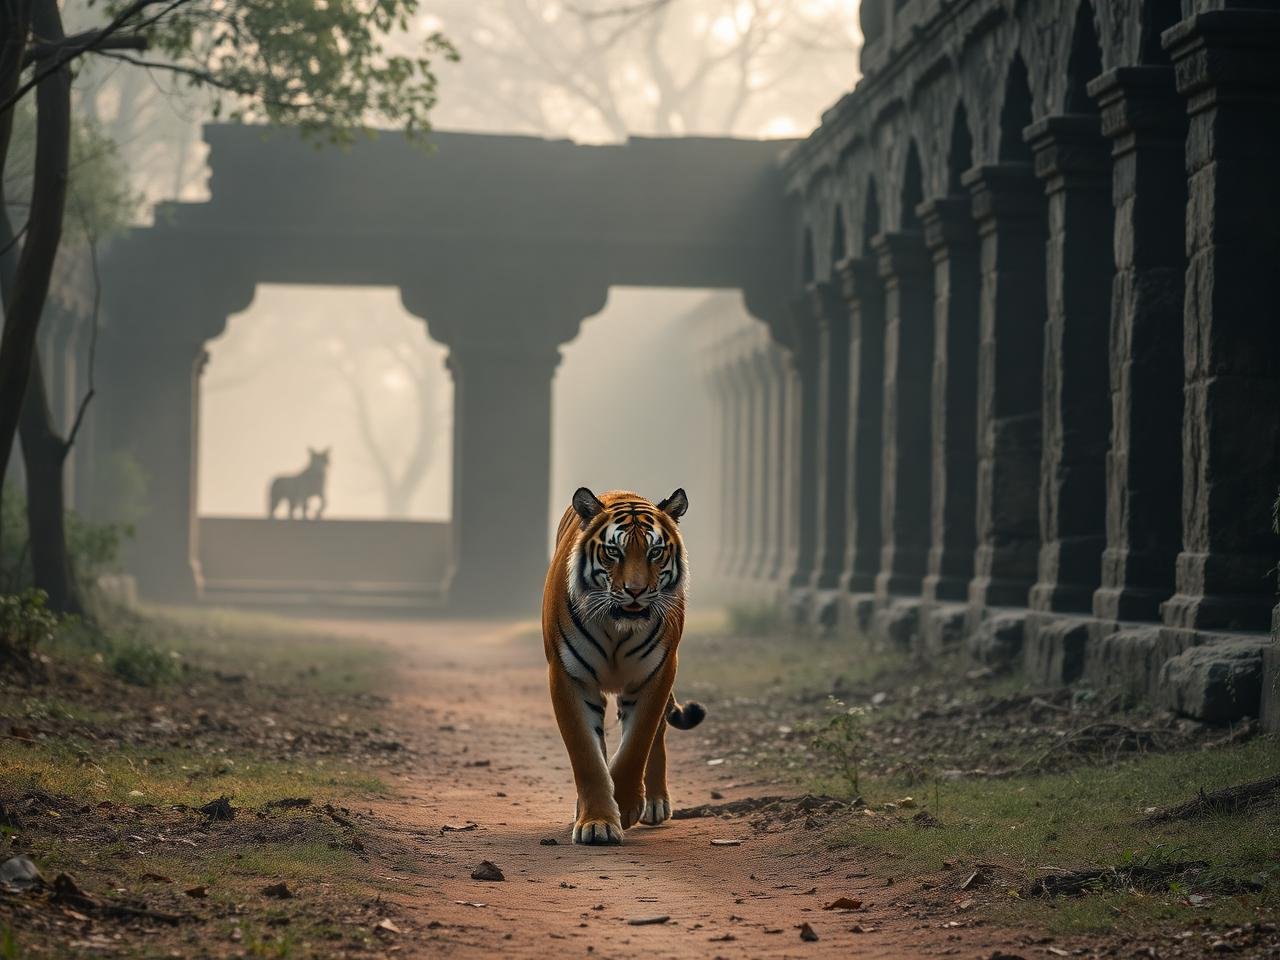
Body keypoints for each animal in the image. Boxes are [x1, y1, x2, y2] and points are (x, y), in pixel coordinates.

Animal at [542, 486, 705, 845]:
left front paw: (627, 806)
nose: (635, 591)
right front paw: (597, 822)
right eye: (613, 552)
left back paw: (655, 802)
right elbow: (588, 756)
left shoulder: (656, 674)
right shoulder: (569, 677)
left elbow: (637, 745)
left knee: (658, 734)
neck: (617, 627)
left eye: (655, 552)